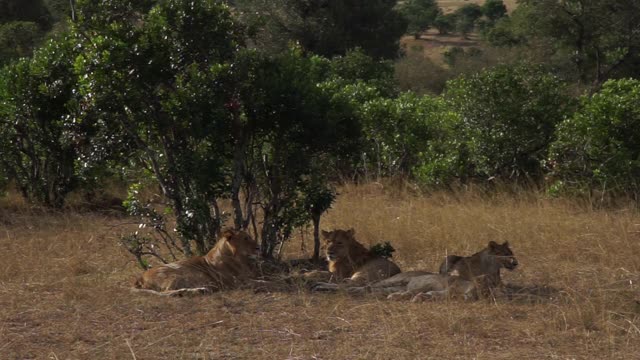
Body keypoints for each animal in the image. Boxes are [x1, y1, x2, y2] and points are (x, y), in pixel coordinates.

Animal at [132, 229, 260, 296]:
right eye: (246, 238)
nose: (258, 247)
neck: (239, 259)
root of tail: (140, 277)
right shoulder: (235, 283)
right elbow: (260, 283)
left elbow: (261, 280)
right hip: (177, 274)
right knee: (166, 292)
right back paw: (198, 290)